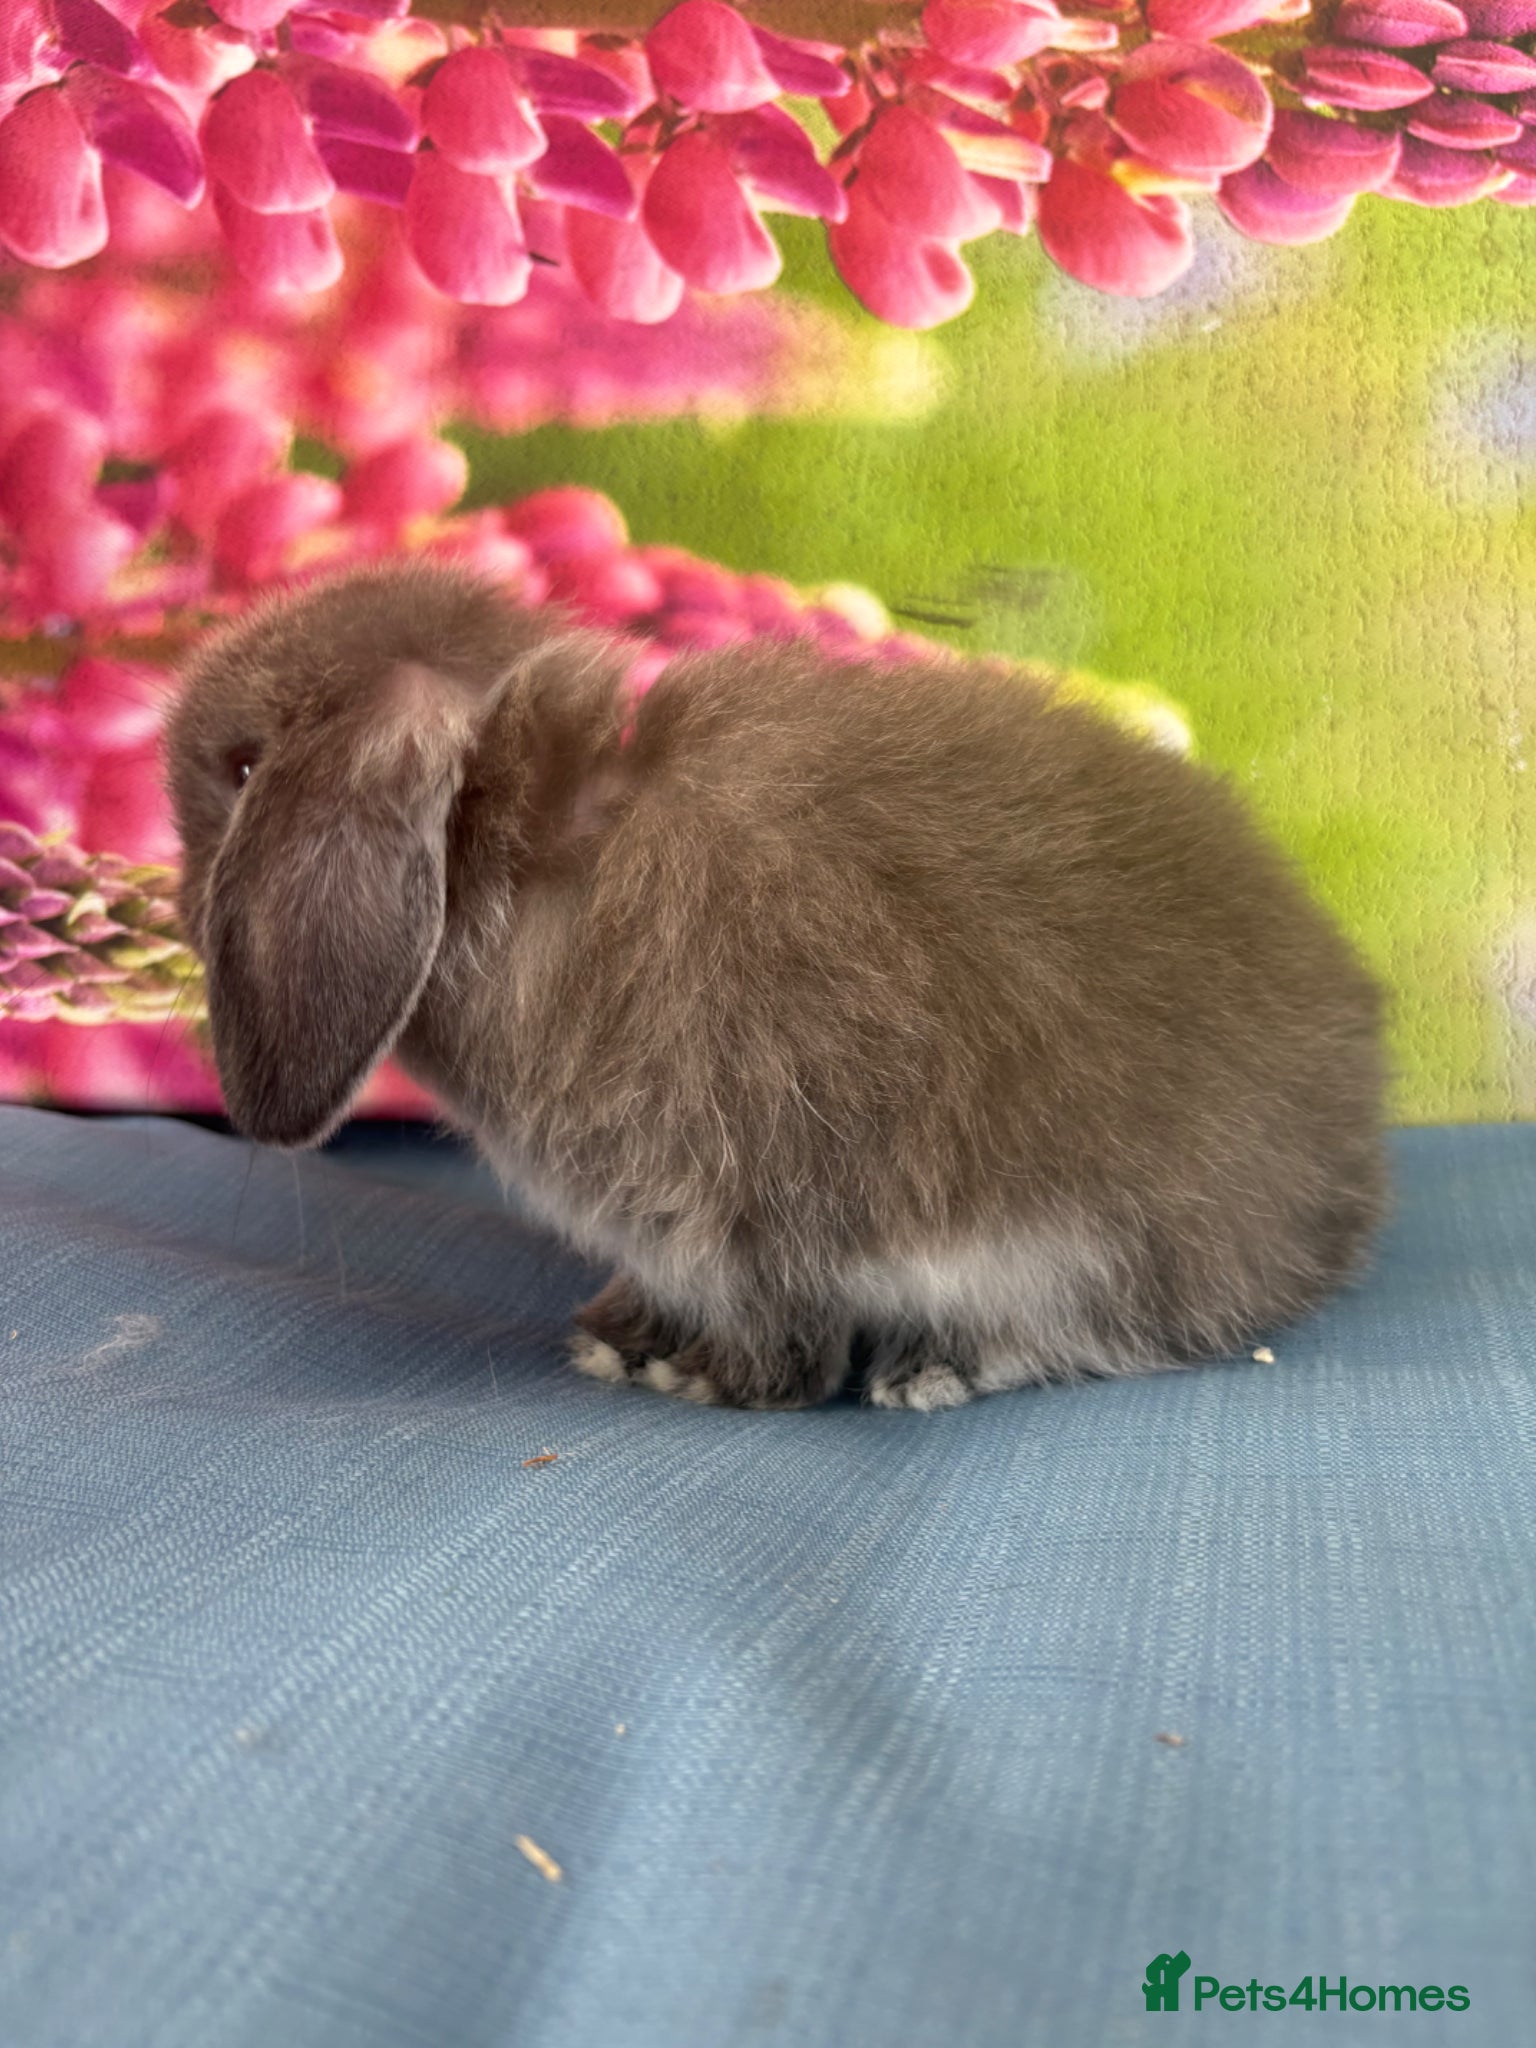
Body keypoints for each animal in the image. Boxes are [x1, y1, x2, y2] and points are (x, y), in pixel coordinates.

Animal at [167, 559, 1388, 1413]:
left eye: (241, 767)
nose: (179, 906)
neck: (537, 848)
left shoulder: (730, 1203)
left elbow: (776, 1331)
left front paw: (691, 1375)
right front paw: (621, 1333)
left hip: (1084, 1237)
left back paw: (931, 1368)